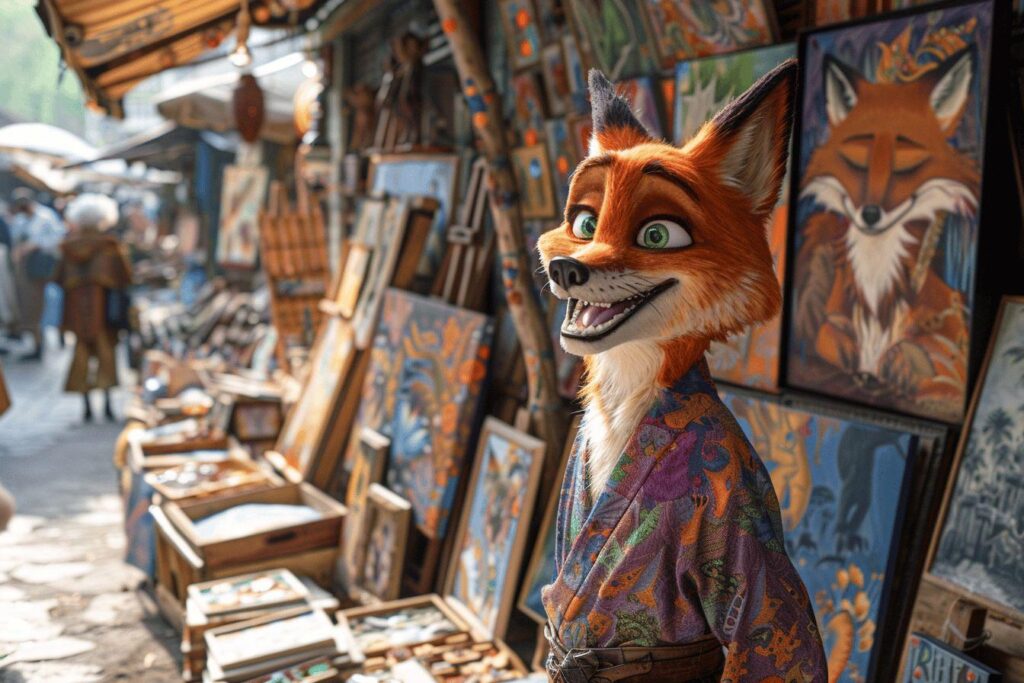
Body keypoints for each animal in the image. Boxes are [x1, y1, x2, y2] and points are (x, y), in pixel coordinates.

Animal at [795, 49, 978, 415]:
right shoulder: (834, 315)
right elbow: (829, 334)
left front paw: (901, 365)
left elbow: (931, 356)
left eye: (906, 165)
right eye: (857, 162)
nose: (869, 214)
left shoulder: (949, 331)